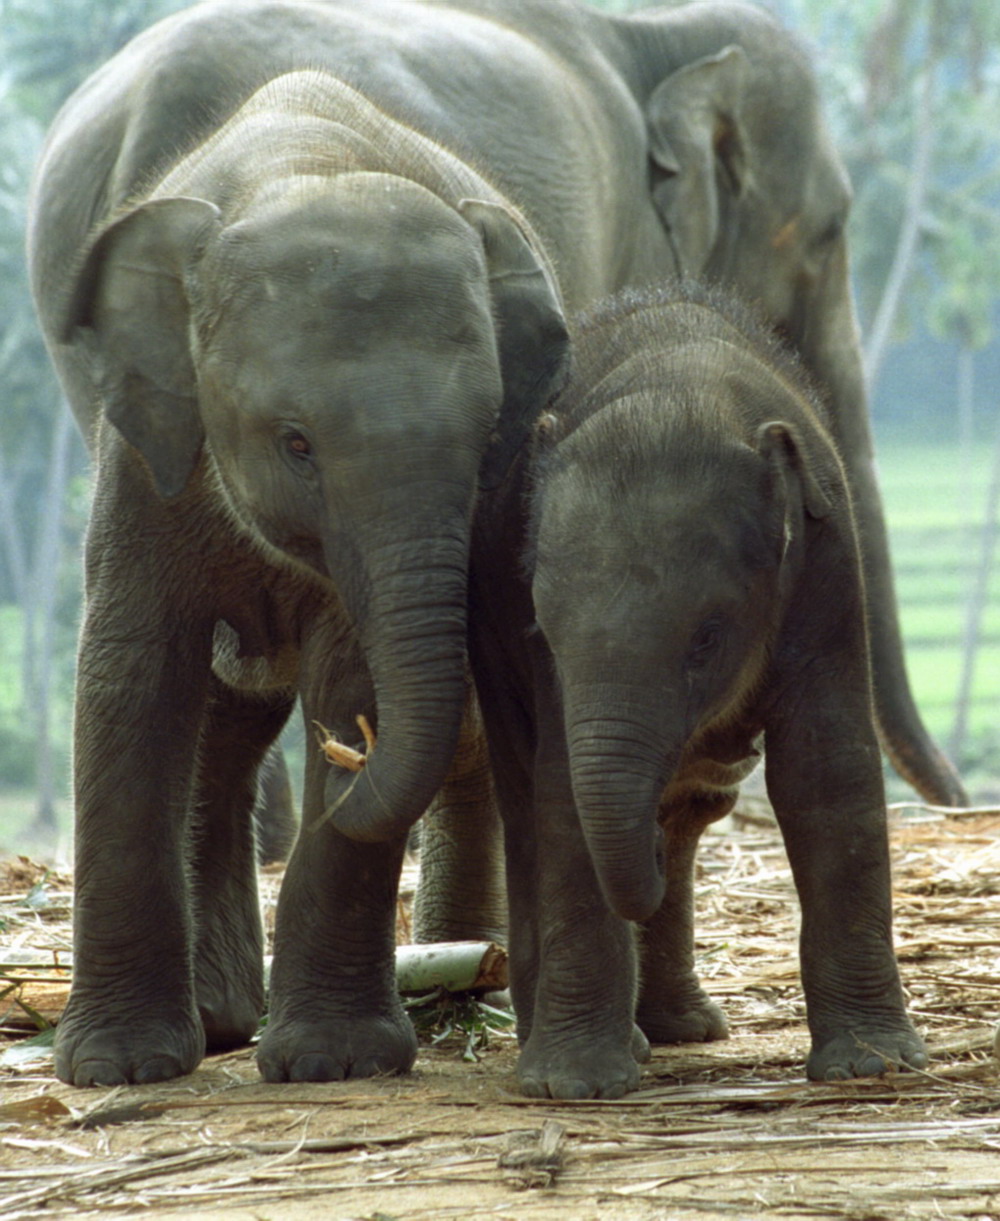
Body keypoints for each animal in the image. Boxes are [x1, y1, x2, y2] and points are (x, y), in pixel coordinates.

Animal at [473, 283, 927, 1098]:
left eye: (707, 637)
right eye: (543, 630)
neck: (685, 384)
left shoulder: (827, 563)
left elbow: (825, 770)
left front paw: (873, 1064)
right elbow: (562, 793)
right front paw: (578, 1086)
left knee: (682, 809)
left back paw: (675, 1027)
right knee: (527, 799)